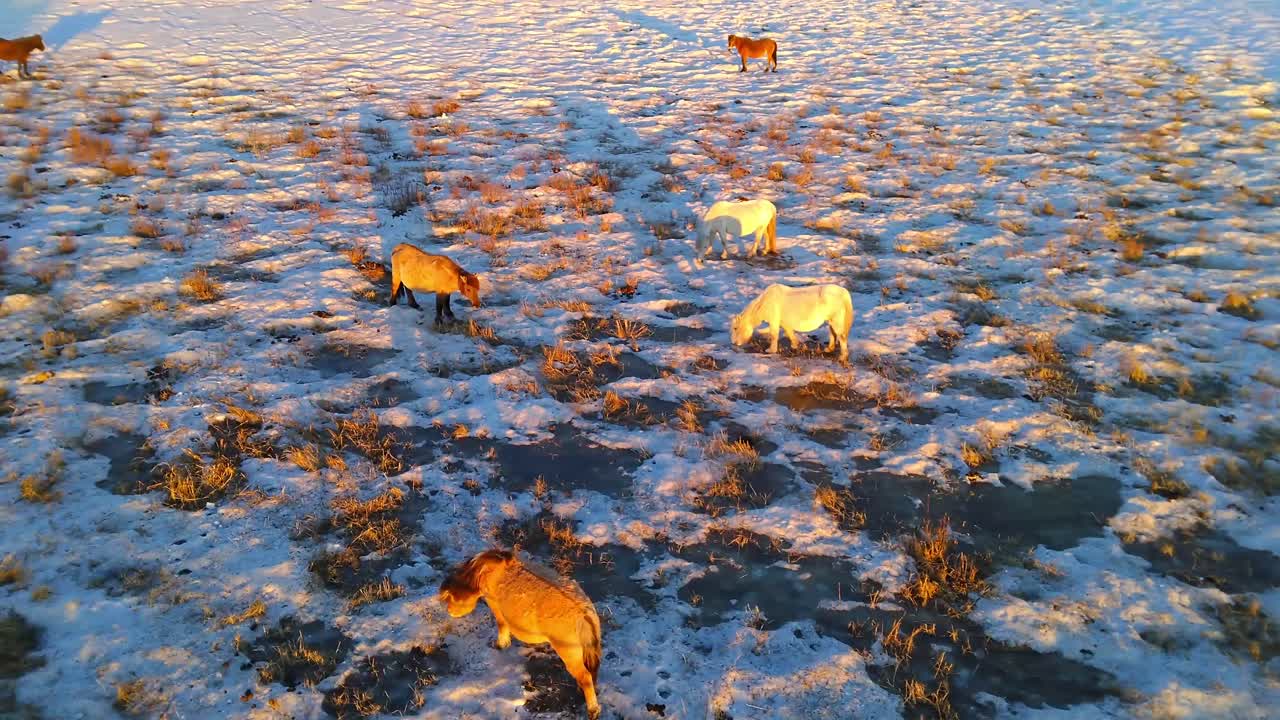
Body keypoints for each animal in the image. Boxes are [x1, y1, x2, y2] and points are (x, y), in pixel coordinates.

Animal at [439, 550, 603, 720]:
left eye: (450, 597)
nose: (449, 611)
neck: (480, 572)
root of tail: (584, 614)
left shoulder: (494, 603)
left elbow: (501, 625)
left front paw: (500, 644)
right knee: (592, 672)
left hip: (569, 652)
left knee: (585, 677)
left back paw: (592, 709)